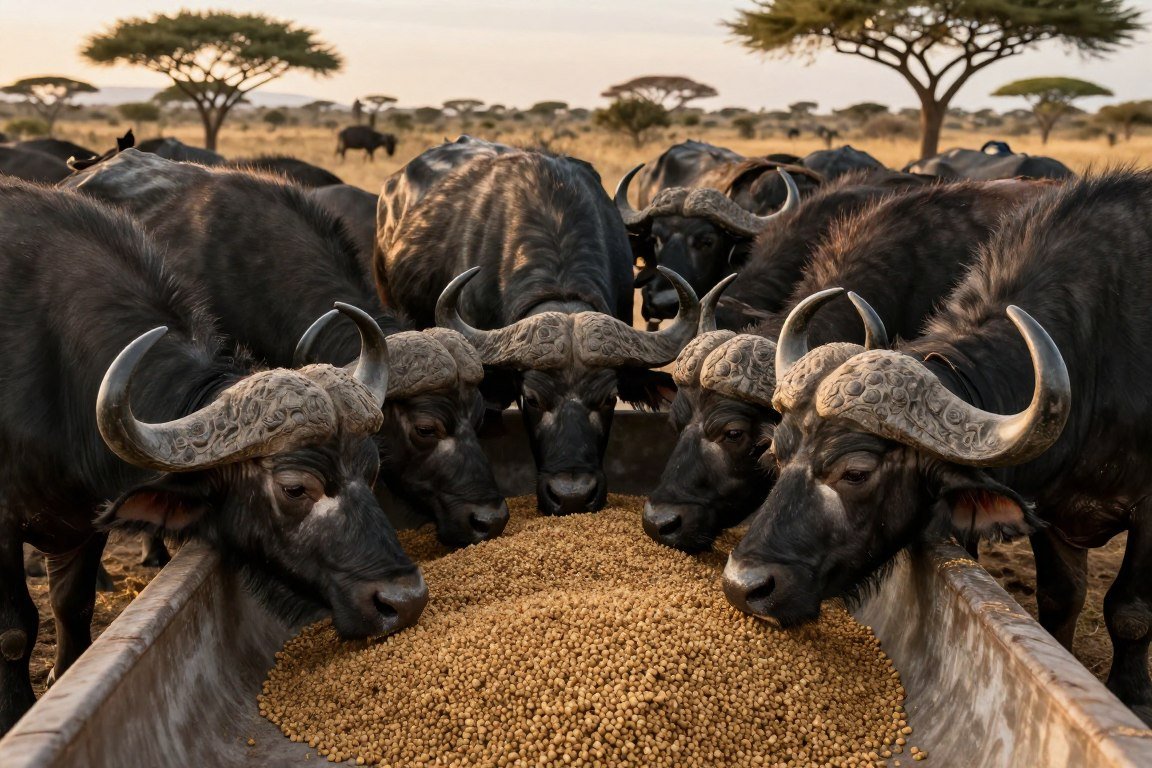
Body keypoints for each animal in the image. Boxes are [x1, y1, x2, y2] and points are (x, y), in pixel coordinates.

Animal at [0, 178, 425, 735]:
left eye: (372, 471)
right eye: (294, 488)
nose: (405, 601)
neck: (56, 369)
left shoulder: (82, 523)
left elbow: (73, 608)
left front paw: (61, 674)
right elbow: (14, 632)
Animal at [723, 170, 1152, 724]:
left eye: (856, 472)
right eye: (777, 454)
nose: (743, 585)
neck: (1097, 356)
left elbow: (1131, 612)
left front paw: (1132, 696)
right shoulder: (1050, 510)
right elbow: (1060, 597)